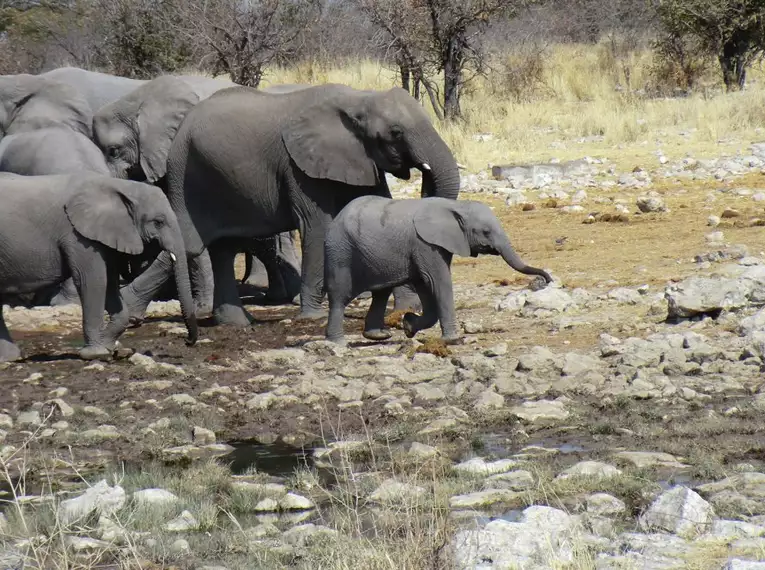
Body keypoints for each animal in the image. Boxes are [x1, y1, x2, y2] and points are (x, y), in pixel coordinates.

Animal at [0, 171, 197, 362]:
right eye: (158, 222)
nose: (187, 342)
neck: (121, 187)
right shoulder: (78, 235)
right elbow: (93, 280)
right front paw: (96, 354)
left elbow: (110, 283)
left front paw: (111, 348)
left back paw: (9, 358)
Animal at [119, 82, 460, 326]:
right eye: (395, 132)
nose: (423, 173)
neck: (359, 99)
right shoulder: (298, 165)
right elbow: (316, 227)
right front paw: (312, 316)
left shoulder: (359, 159)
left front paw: (404, 309)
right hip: (184, 173)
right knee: (190, 243)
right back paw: (132, 315)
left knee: (222, 248)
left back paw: (236, 323)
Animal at [326, 197, 552, 344]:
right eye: (486, 232)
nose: (546, 280)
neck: (457, 206)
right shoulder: (425, 244)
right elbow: (437, 280)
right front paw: (454, 339)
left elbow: (425, 284)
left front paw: (408, 326)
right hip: (340, 252)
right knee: (339, 296)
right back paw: (337, 343)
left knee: (381, 293)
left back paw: (379, 336)